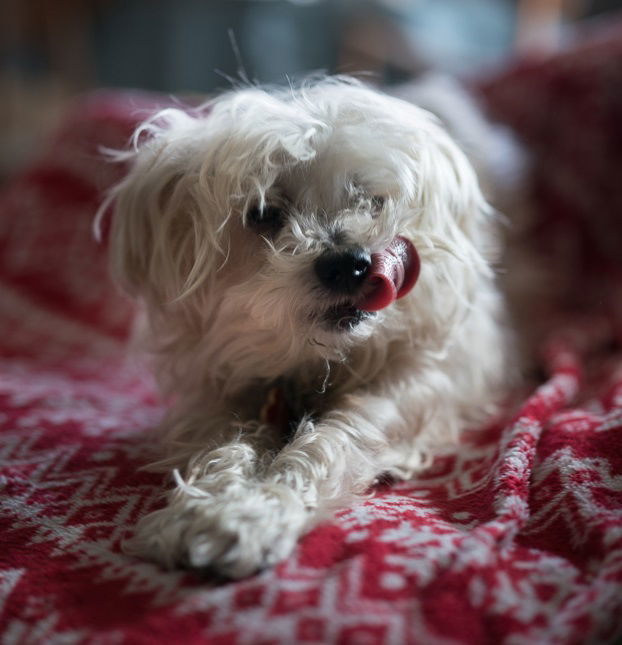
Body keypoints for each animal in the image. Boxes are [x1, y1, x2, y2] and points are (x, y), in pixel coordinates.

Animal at [105, 76, 516, 580]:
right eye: (263, 213)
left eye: (372, 201)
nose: (349, 264)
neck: (311, 357)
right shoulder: (217, 398)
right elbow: (223, 447)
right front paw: (213, 506)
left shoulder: (415, 385)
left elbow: (337, 440)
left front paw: (251, 513)